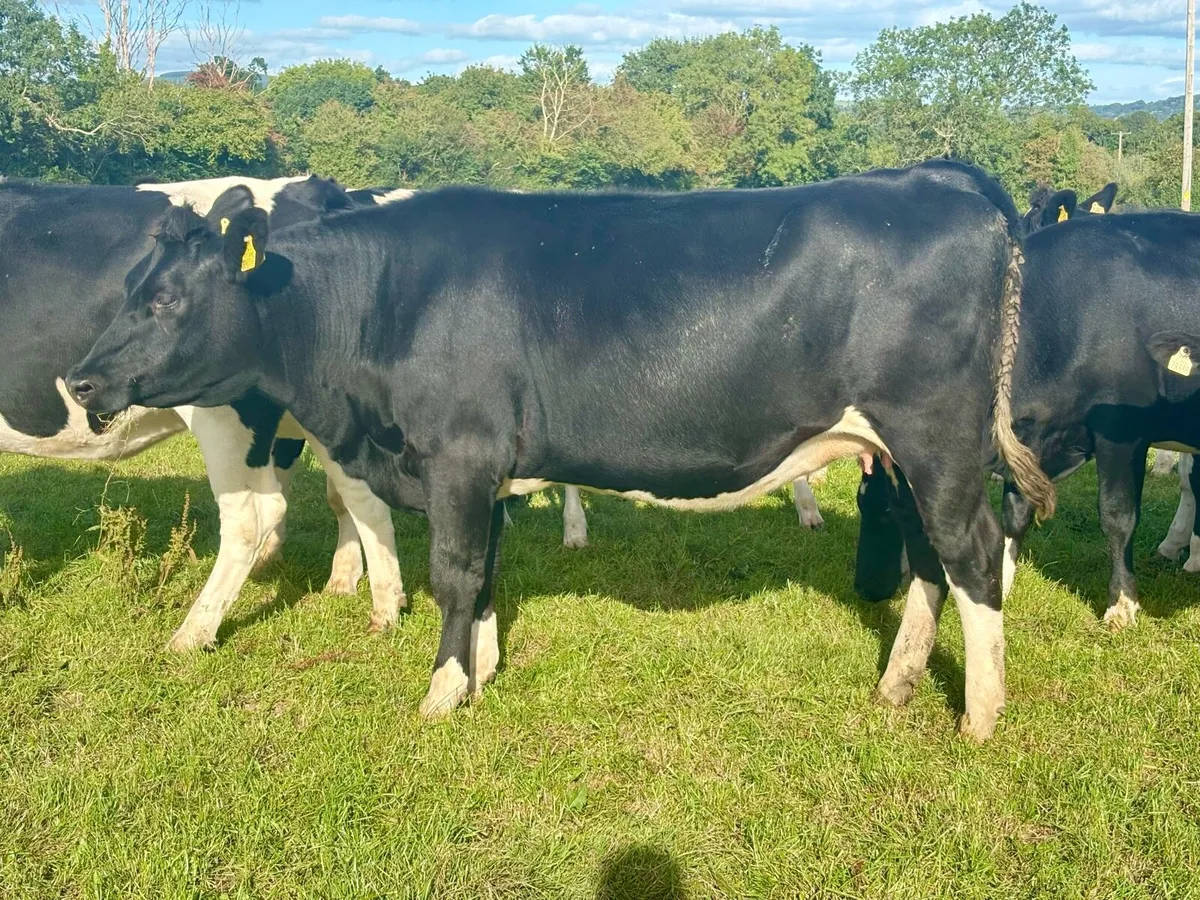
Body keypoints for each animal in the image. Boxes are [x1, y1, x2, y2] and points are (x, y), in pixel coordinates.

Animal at [0, 174, 406, 651]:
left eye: (165, 299)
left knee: (254, 516)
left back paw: (193, 633)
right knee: (355, 494)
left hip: (222, 413)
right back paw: (377, 601)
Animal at [68, 160, 1056, 740]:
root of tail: (939, 177)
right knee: (930, 558)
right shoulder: (487, 468)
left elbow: (455, 573)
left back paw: (980, 715)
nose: (78, 382)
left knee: (973, 555)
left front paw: (440, 693)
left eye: (164, 300)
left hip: (935, 437)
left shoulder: (458, 454)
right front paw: (482, 673)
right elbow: (488, 572)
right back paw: (899, 684)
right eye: (133, 287)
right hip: (906, 453)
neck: (380, 299)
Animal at [852, 212, 1200, 631]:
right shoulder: (1028, 436)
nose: (863, 587)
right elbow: (1014, 513)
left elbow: (1118, 515)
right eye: (861, 502)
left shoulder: (1121, 432)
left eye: (891, 511)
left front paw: (1121, 604)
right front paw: (1002, 582)